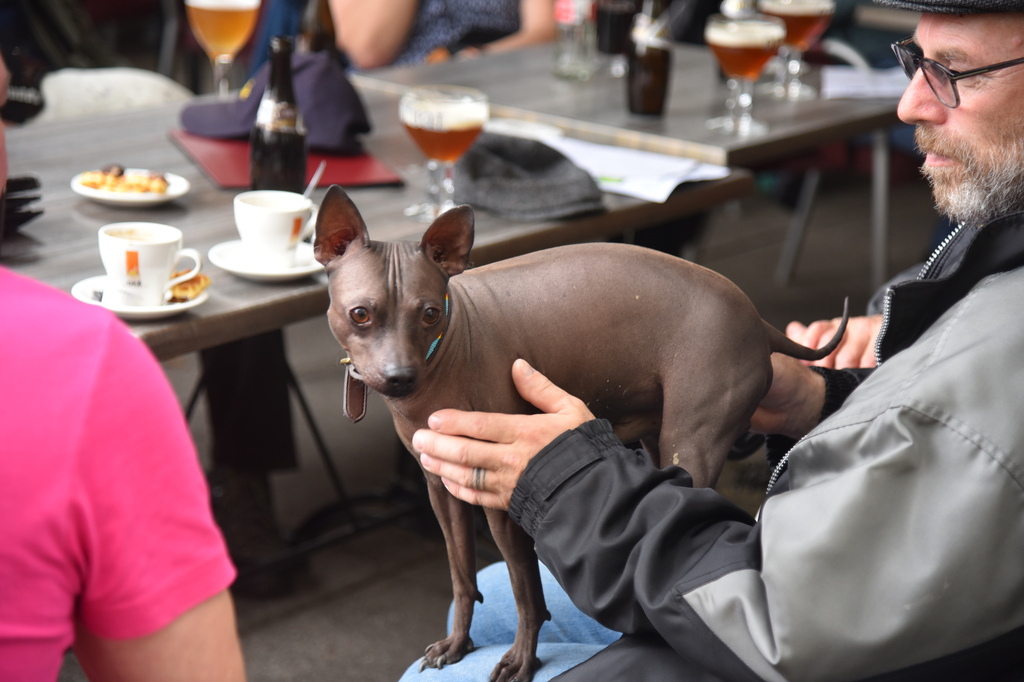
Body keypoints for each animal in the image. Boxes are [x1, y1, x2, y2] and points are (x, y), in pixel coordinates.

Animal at [313, 184, 847, 679]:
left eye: (429, 312)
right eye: (360, 313)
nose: (399, 377)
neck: (445, 353)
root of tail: (758, 319)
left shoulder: (501, 498)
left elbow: (525, 589)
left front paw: (522, 659)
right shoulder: (441, 491)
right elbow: (461, 575)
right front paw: (457, 643)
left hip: (691, 444)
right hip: (657, 437)